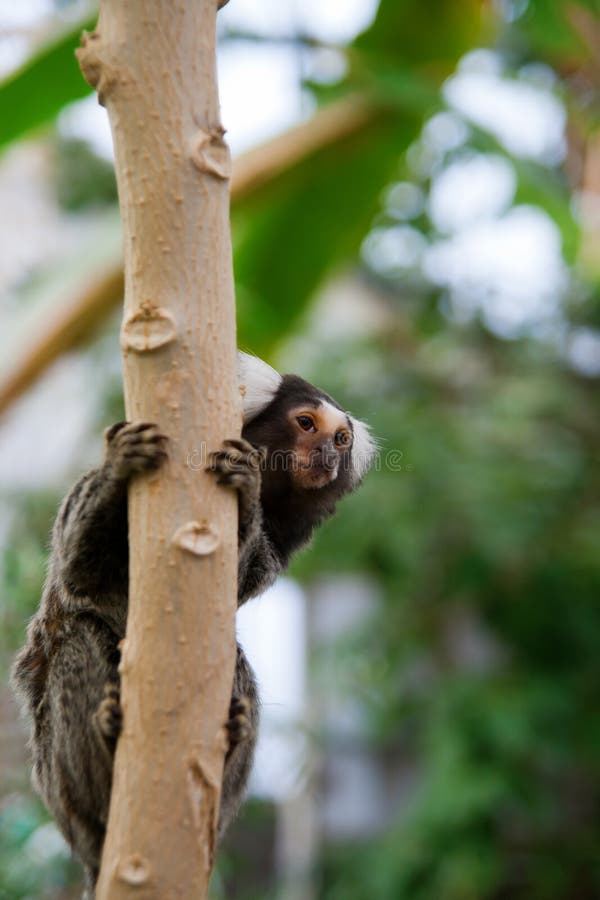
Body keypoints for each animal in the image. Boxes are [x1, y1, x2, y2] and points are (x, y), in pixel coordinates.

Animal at [12, 352, 376, 892]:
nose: (327, 456)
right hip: (60, 785)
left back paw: (232, 733)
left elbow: (236, 579)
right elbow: (78, 569)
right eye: (307, 424)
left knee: (235, 662)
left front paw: (245, 491)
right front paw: (120, 466)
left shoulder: (273, 549)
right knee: (76, 642)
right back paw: (106, 739)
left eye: (342, 440)